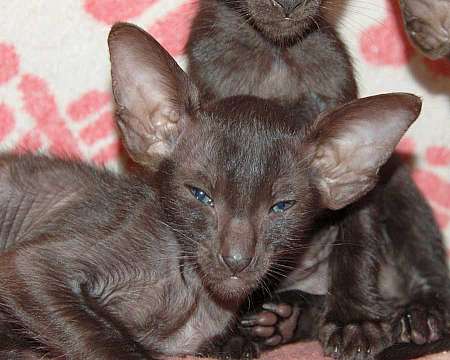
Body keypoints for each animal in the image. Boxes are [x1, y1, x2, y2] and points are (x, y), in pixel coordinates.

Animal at [0, 23, 422, 358]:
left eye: (281, 206)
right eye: (200, 195)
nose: (236, 259)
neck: (193, 293)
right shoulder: (32, 268)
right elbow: (109, 341)